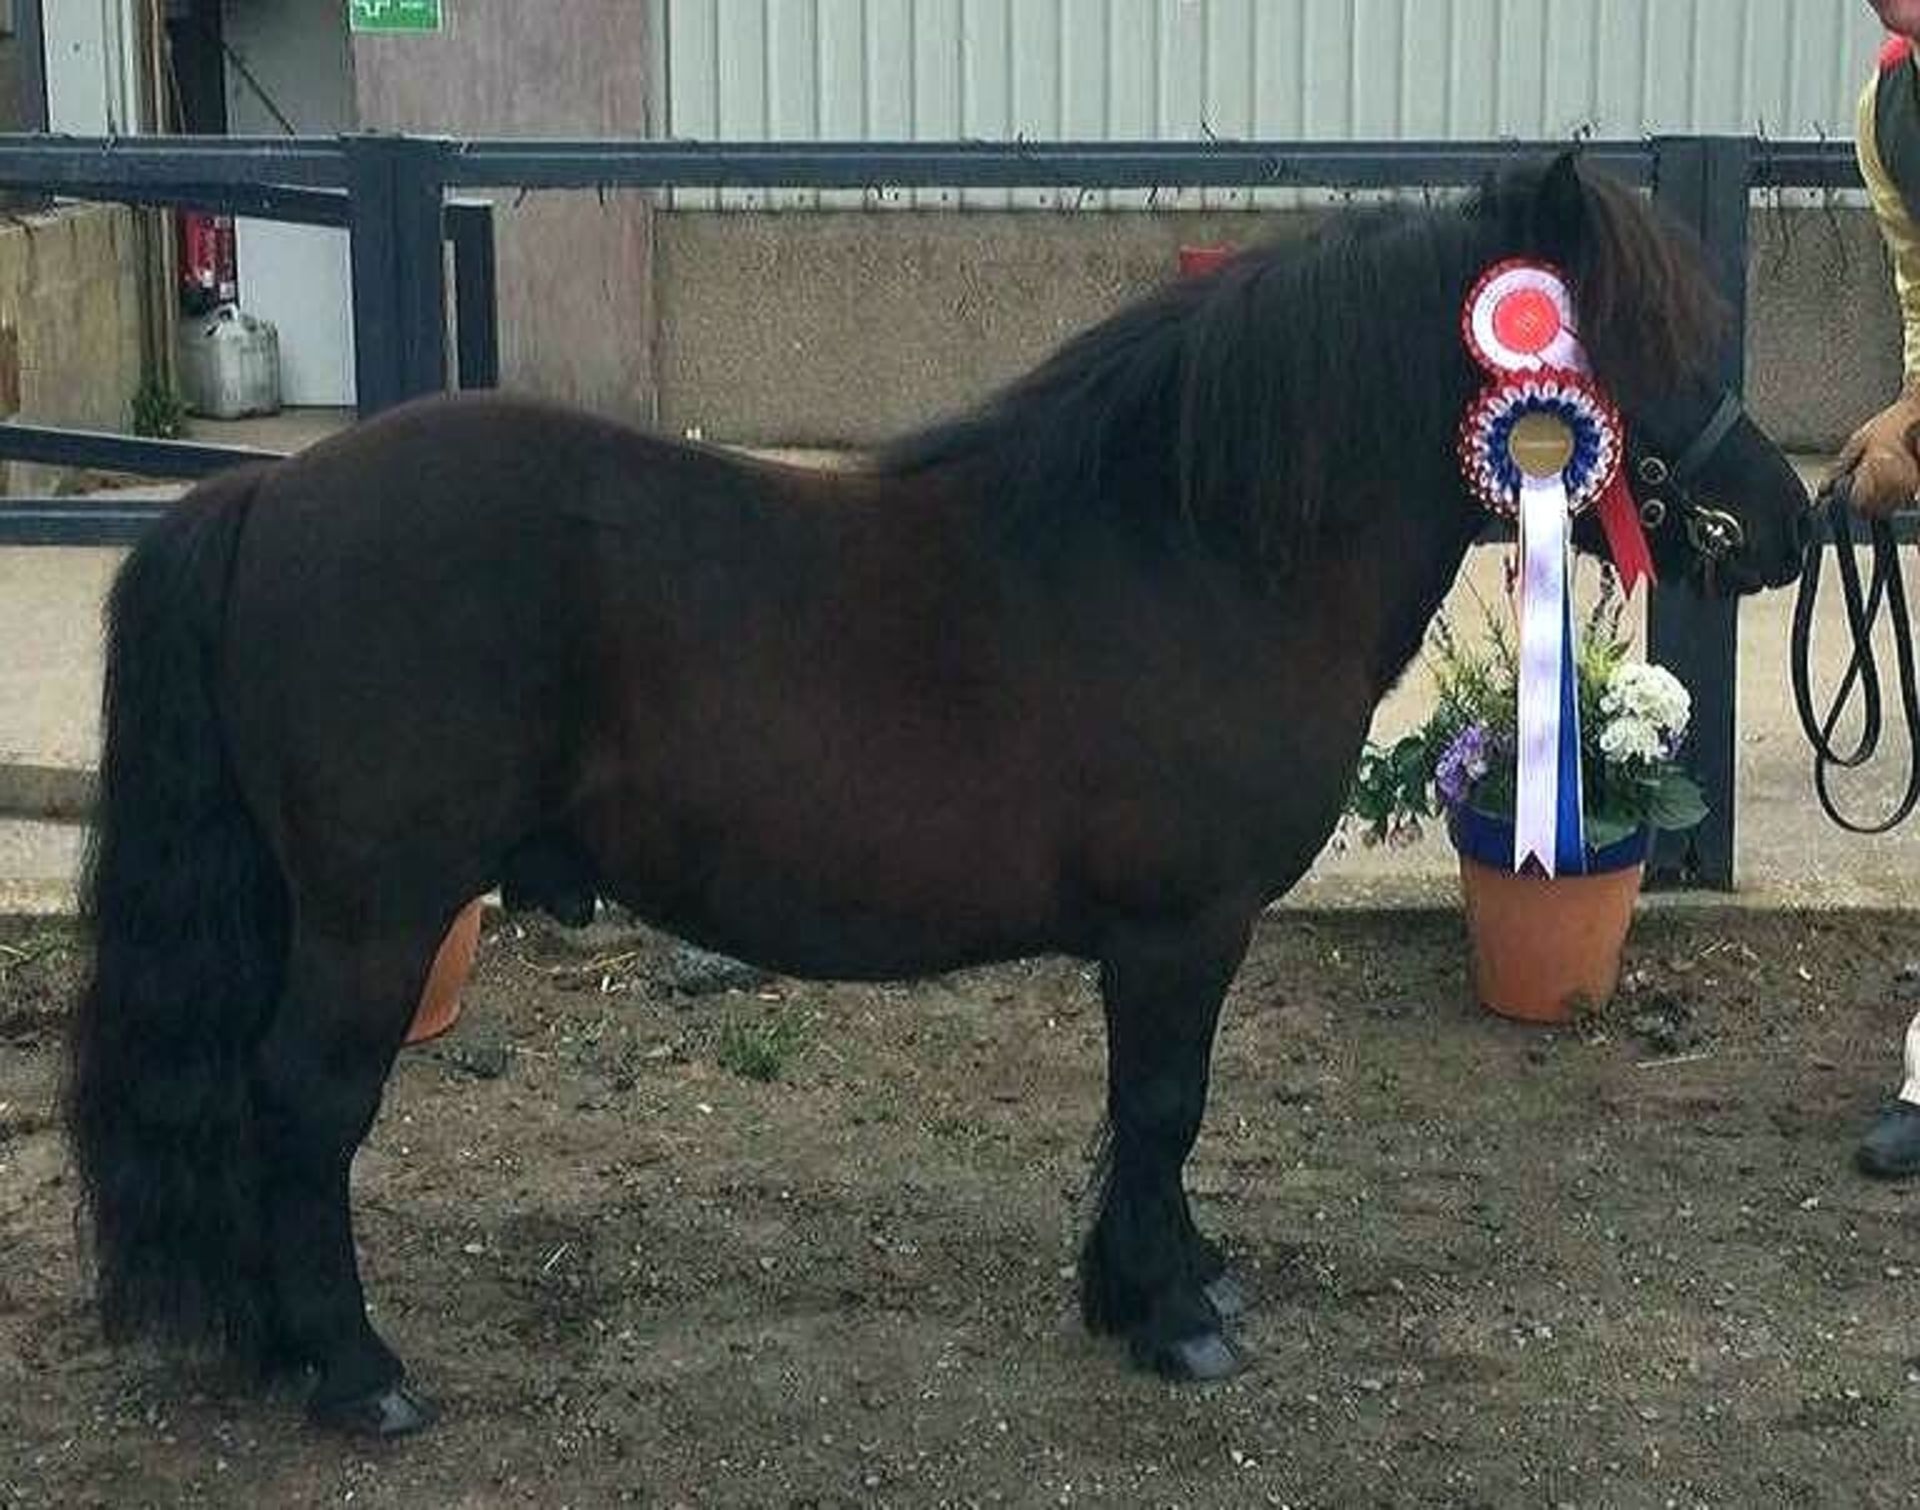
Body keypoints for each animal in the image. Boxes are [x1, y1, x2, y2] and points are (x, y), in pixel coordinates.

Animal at [67, 155, 1804, 1436]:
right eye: (1639, 337)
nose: (1785, 525)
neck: (1199, 550)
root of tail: (268, 493)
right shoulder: (1180, 931)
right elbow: (1162, 1105)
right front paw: (1169, 1314)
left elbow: (1153, 1116)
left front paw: (1169, 1277)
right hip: (376, 919)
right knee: (304, 1105)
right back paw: (356, 1373)